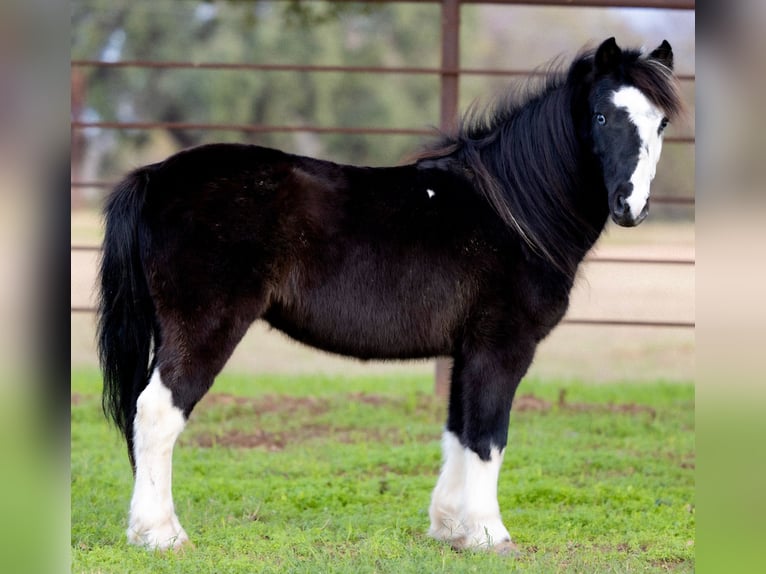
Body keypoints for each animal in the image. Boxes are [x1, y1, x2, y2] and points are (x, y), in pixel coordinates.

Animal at [97, 37, 682, 553]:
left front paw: (451, 528)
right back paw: (160, 535)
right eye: (602, 117)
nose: (630, 205)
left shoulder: (466, 351)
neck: (514, 210)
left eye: (660, 123)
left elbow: (458, 430)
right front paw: (490, 534)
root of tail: (154, 176)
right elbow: (488, 435)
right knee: (157, 414)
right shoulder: (502, 346)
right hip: (204, 327)